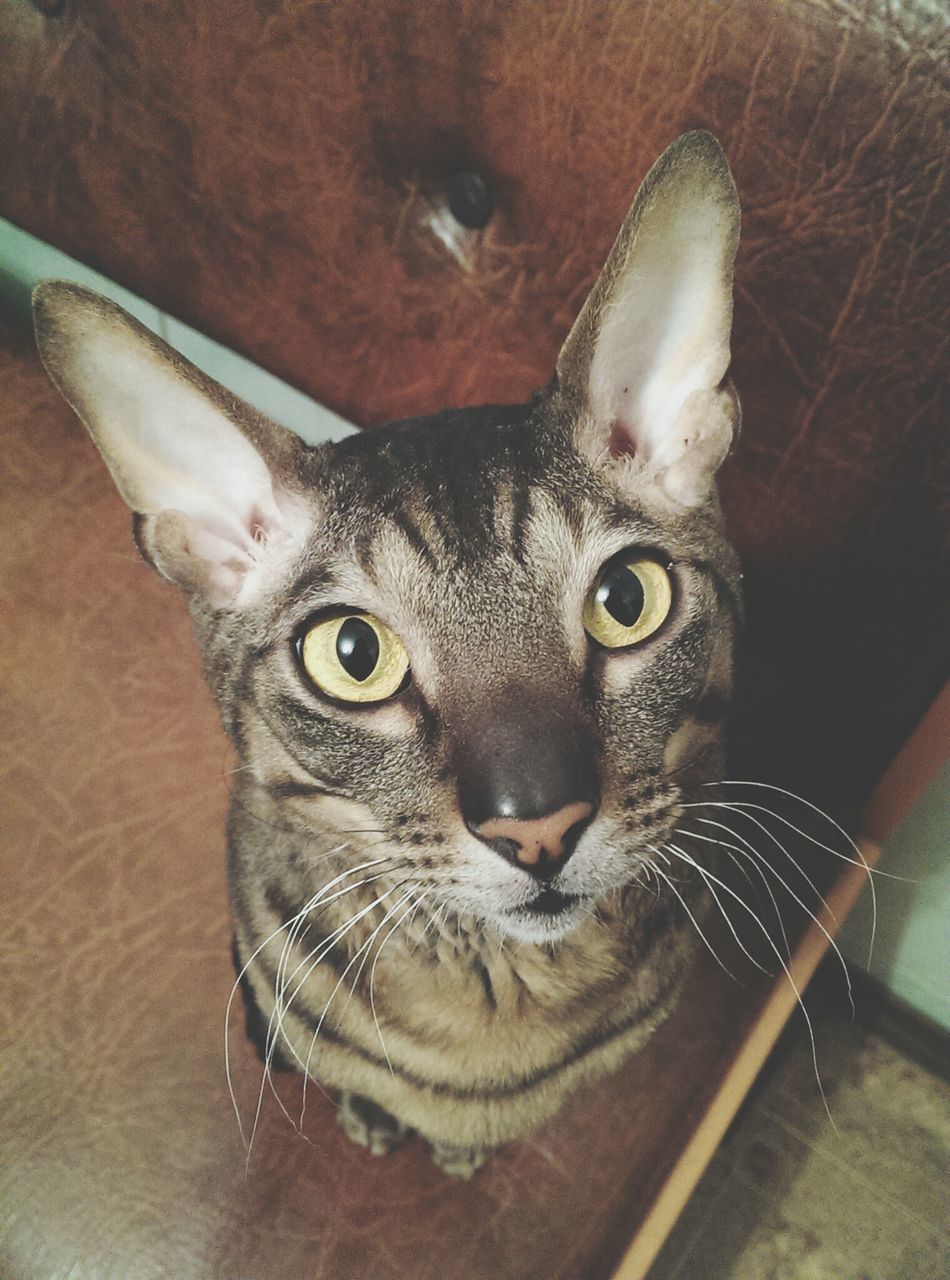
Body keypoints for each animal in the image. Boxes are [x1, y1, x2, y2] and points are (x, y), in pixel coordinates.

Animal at [35, 129, 742, 1177]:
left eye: (626, 601)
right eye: (353, 654)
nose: (538, 827)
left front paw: (457, 1154)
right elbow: (350, 1076)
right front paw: (377, 1120)